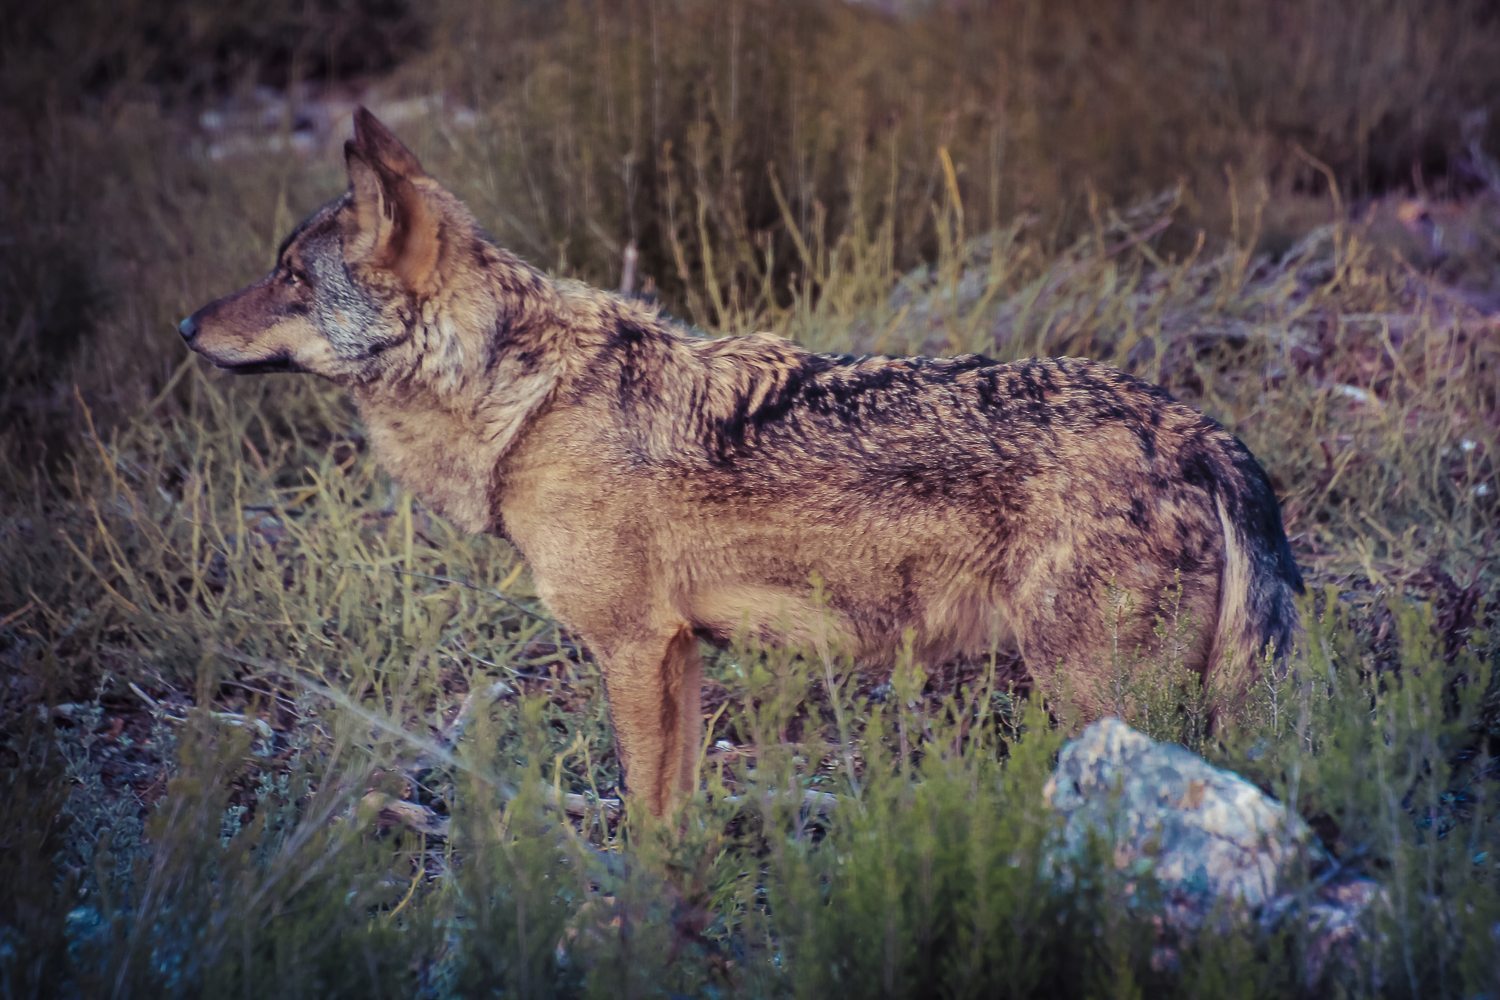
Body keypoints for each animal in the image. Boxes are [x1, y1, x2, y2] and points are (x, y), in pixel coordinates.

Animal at [181, 109, 1303, 816]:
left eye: (288, 278)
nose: (187, 323)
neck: (525, 405)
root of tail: (1200, 429)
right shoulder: (678, 653)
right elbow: (675, 819)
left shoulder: (631, 649)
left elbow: (641, 817)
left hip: (1104, 701)